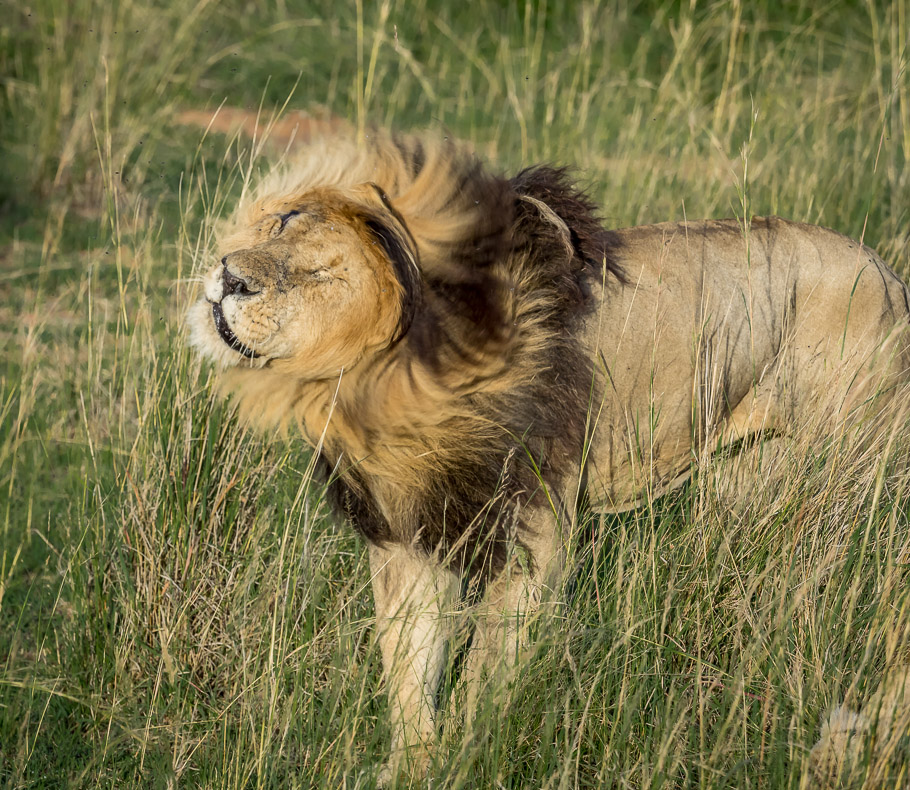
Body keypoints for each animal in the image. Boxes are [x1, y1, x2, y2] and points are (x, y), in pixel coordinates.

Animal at [188, 131, 910, 778]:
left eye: (320, 274)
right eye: (280, 223)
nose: (227, 275)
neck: (395, 388)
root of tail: (887, 272)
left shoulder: (535, 527)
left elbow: (484, 671)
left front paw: (466, 760)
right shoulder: (408, 528)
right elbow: (409, 663)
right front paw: (410, 766)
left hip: (831, 487)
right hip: (746, 486)